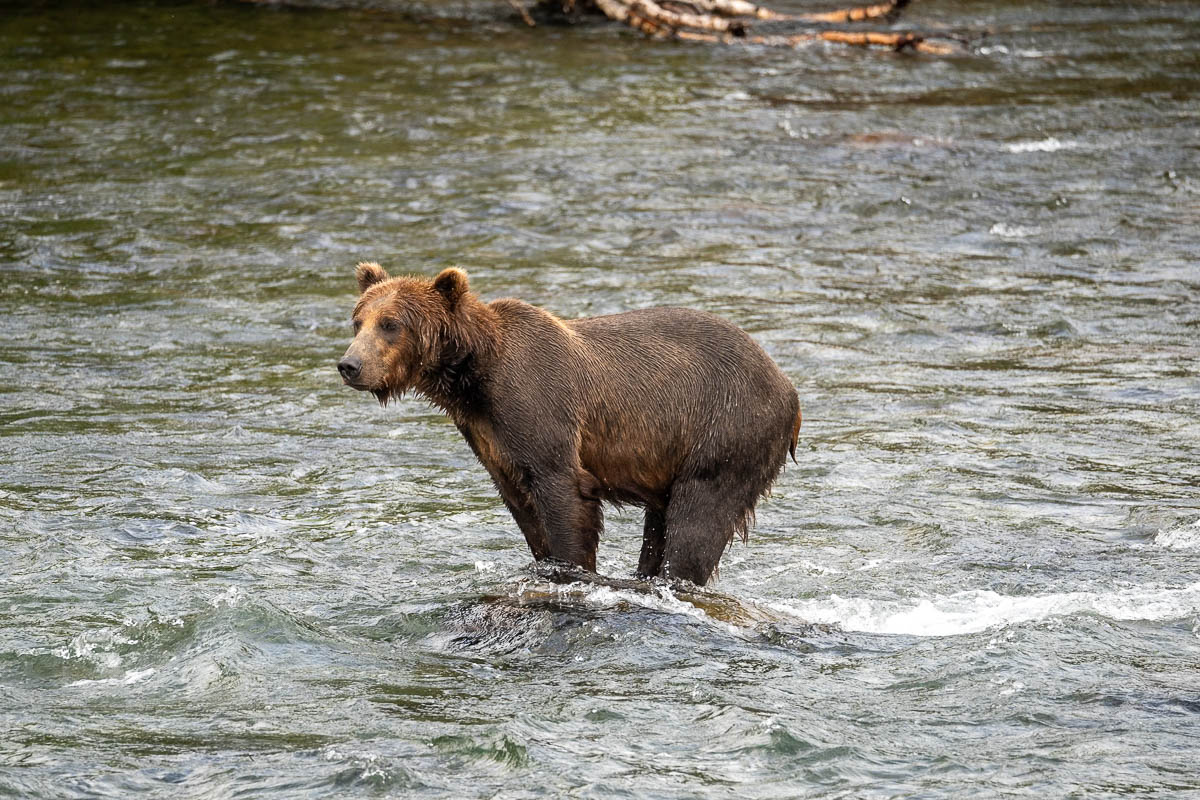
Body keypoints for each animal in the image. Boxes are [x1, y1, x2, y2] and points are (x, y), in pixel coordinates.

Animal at [336, 266, 796, 585]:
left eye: (391, 324)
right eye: (358, 321)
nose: (349, 365)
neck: (473, 377)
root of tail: (788, 388)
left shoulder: (538, 405)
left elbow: (563, 492)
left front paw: (572, 567)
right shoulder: (489, 437)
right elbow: (522, 505)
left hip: (726, 429)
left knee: (698, 520)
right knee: (660, 524)